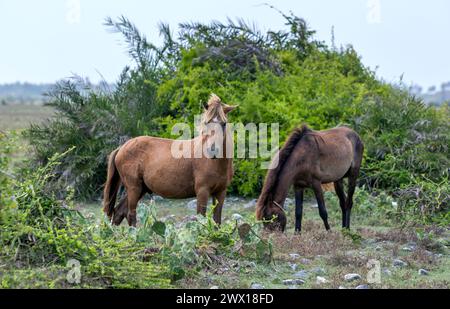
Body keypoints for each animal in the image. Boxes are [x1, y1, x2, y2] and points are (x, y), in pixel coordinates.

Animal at [103, 92, 237, 225]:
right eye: (206, 123)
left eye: (224, 123)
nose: (212, 151)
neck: (215, 164)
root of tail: (121, 148)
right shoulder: (202, 191)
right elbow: (201, 219)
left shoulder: (220, 193)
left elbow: (217, 221)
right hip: (133, 188)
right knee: (130, 215)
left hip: (141, 189)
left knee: (119, 212)